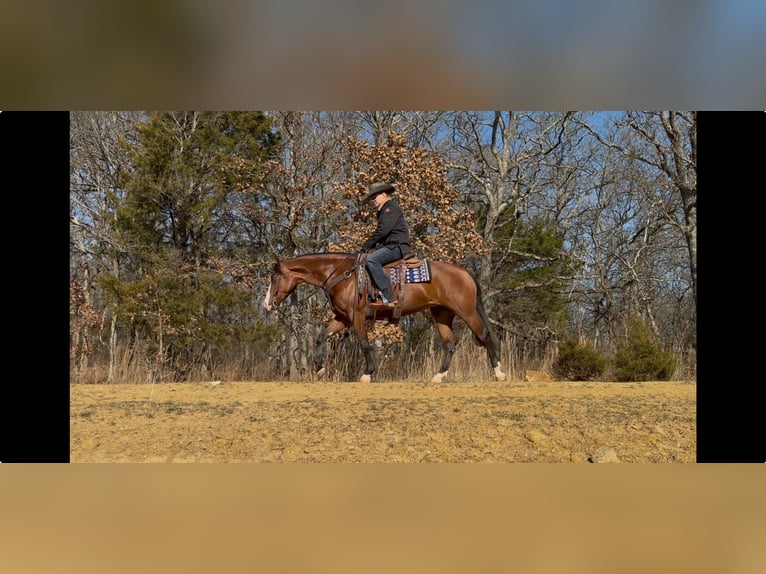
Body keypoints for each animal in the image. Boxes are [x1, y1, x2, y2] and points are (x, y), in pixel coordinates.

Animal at [262, 252, 506, 383]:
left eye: (274, 278)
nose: (266, 304)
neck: (343, 275)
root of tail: (465, 272)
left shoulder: (356, 316)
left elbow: (364, 343)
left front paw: (368, 374)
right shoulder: (343, 318)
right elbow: (322, 336)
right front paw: (320, 368)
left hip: (467, 312)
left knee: (484, 336)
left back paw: (499, 373)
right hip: (442, 314)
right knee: (450, 343)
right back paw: (438, 376)